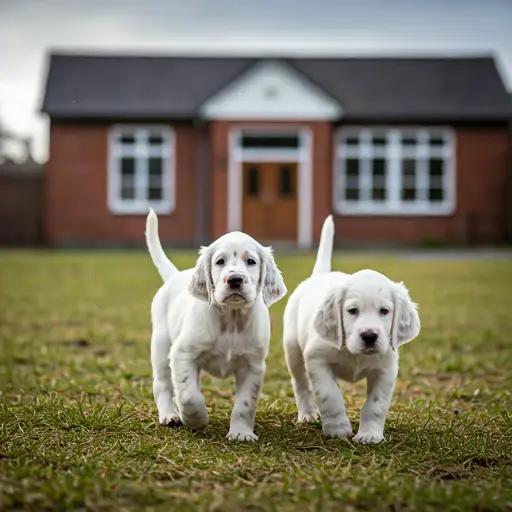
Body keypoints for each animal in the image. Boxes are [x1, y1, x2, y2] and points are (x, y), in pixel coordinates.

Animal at [146, 210, 286, 442]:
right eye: (220, 261)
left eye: (251, 261)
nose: (235, 279)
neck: (231, 318)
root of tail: (175, 276)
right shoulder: (182, 354)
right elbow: (189, 395)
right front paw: (195, 419)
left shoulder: (253, 364)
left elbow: (245, 404)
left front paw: (241, 433)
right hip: (161, 346)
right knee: (162, 384)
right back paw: (170, 415)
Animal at [284, 216, 420, 444]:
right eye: (352, 310)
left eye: (385, 311)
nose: (369, 336)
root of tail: (319, 275)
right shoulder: (316, 360)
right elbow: (329, 396)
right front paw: (338, 429)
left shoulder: (386, 369)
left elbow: (376, 404)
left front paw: (370, 435)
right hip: (293, 350)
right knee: (300, 384)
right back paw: (308, 414)